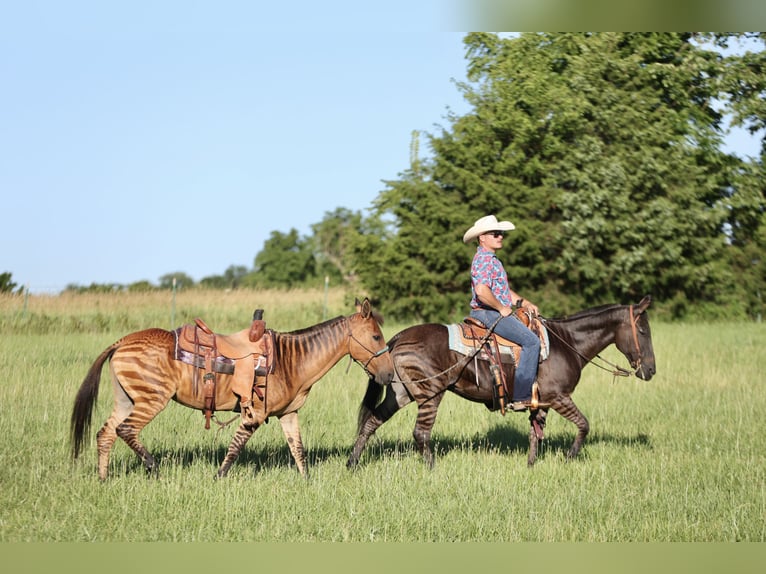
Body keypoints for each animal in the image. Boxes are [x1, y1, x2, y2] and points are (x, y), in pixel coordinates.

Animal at [70, 300, 396, 480]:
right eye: (376, 336)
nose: (390, 374)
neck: (292, 360)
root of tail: (121, 342)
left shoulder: (288, 414)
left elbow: (298, 451)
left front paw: (307, 483)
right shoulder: (254, 414)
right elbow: (236, 447)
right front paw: (218, 477)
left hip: (127, 399)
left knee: (105, 433)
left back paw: (103, 479)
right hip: (151, 400)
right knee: (125, 430)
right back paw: (153, 467)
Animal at [348, 300, 656, 470]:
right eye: (643, 331)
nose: (651, 370)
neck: (566, 342)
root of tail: (397, 338)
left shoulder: (540, 401)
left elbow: (535, 434)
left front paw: (531, 466)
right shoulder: (559, 397)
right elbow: (584, 425)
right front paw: (569, 458)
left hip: (400, 392)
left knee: (372, 421)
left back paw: (352, 463)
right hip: (429, 394)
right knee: (420, 433)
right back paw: (432, 470)